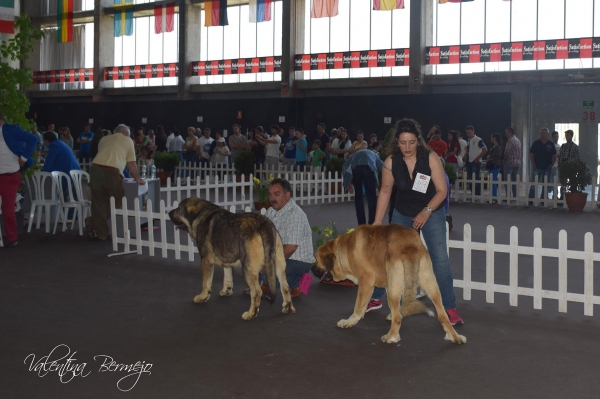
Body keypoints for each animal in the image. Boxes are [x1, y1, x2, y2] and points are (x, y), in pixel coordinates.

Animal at [312, 223, 466, 346]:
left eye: (316, 259)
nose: (311, 269)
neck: (343, 250)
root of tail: (408, 246)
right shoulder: (388, 284)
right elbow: (394, 308)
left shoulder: (366, 282)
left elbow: (358, 308)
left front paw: (349, 322)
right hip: (429, 284)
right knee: (442, 315)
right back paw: (455, 337)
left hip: (394, 288)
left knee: (398, 319)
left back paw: (390, 337)